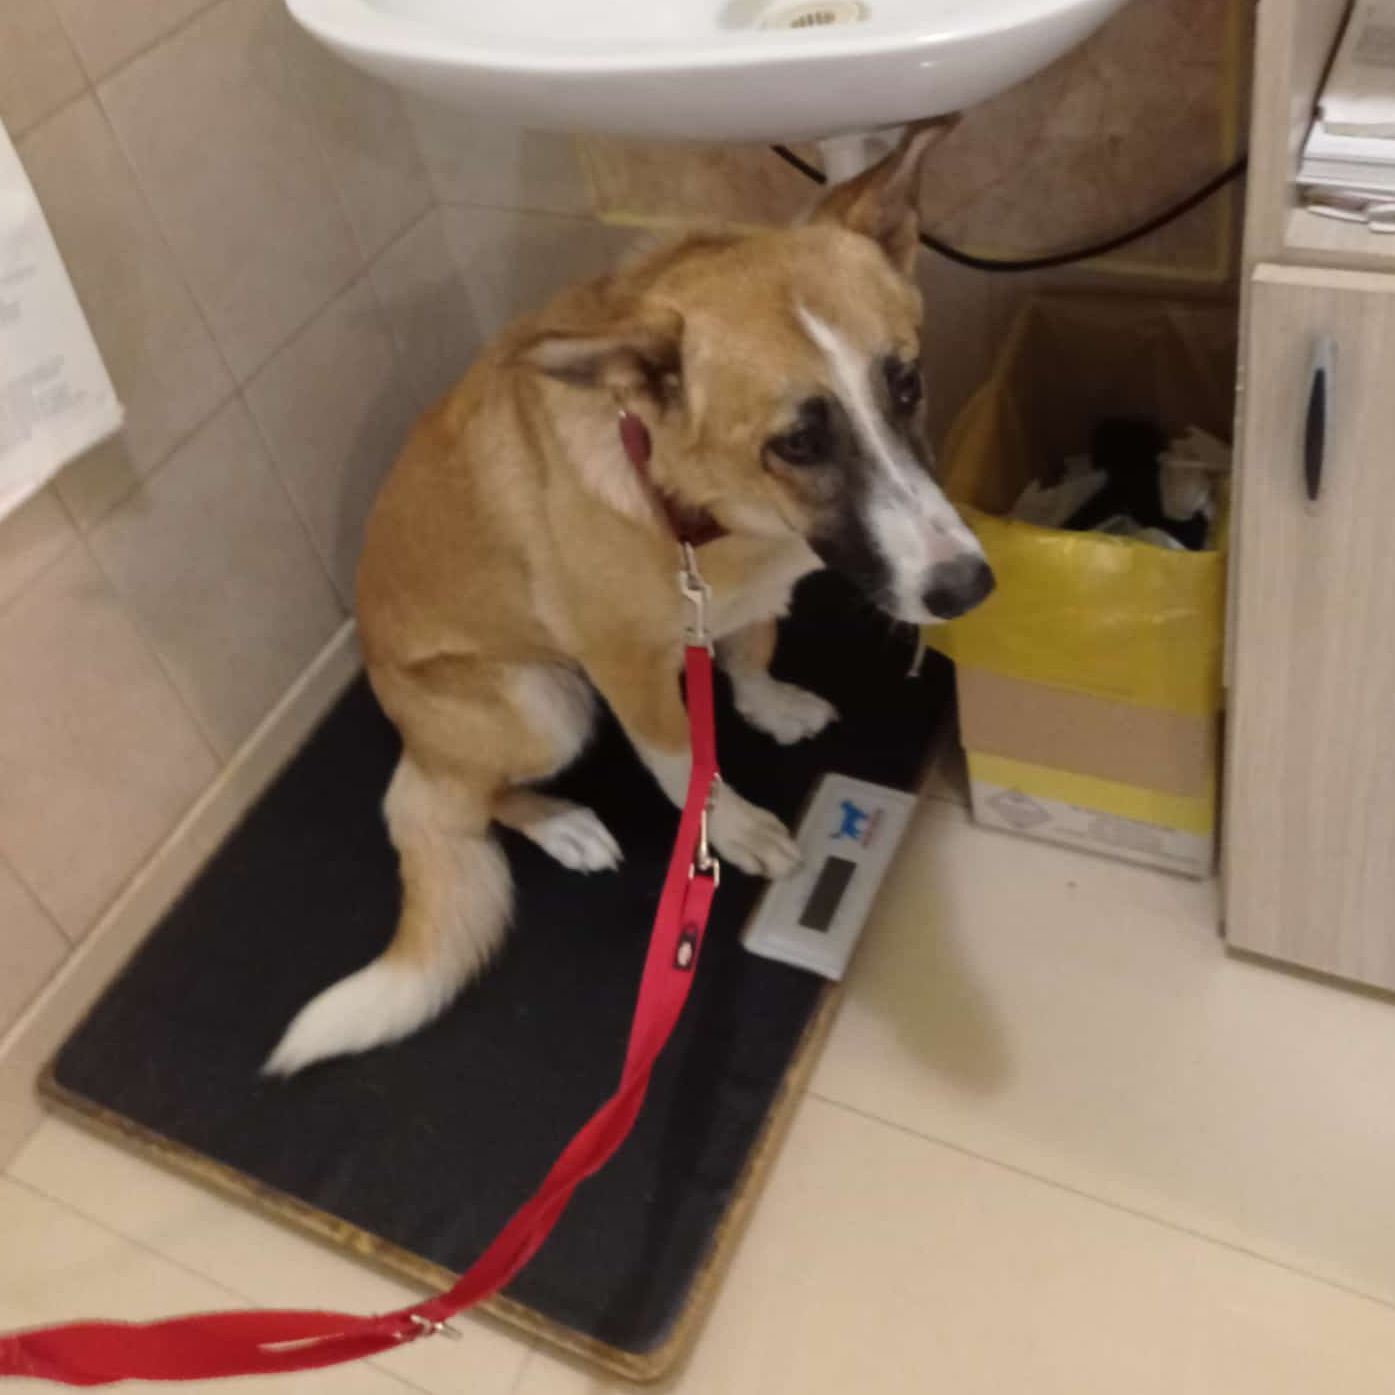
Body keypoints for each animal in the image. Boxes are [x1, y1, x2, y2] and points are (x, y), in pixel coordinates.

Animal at [265, 121, 994, 1076]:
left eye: (905, 383)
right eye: (797, 442)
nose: (970, 587)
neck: (701, 514)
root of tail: (409, 732)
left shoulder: (738, 609)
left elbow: (750, 653)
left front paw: (766, 705)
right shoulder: (624, 670)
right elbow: (684, 763)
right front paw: (733, 828)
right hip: (545, 704)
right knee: (450, 803)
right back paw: (564, 824)